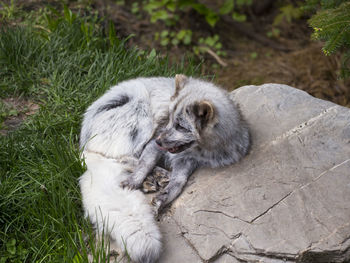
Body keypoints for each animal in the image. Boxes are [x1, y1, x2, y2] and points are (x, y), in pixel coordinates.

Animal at [80, 75, 249, 263]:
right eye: (169, 119)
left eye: (181, 126)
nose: (159, 140)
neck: (204, 150)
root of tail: (84, 142)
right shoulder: (156, 143)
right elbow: (144, 163)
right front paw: (135, 182)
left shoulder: (187, 160)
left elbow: (179, 182)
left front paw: (163, 197)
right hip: (142, 116)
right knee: (122, 157)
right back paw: (154, 175)